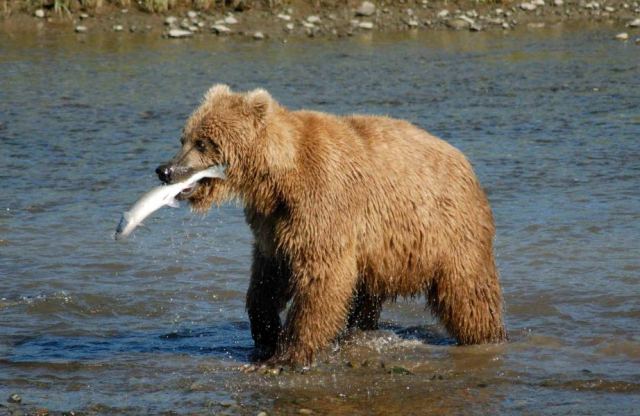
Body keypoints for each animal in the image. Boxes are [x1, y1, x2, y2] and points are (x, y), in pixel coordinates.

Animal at [155, 84, 507, 366]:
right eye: (184, 137)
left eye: (203, 142)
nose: (165, 170)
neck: (276, 179)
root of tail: (465, 162)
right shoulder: (272, 223)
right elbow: (268, 277)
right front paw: (266, 334)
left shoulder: (323, 201)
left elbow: (321, 277)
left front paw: (288, 353)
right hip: (382, 254)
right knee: (366, 296)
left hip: (447, 229)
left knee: (468, 292)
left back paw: (486, 337)